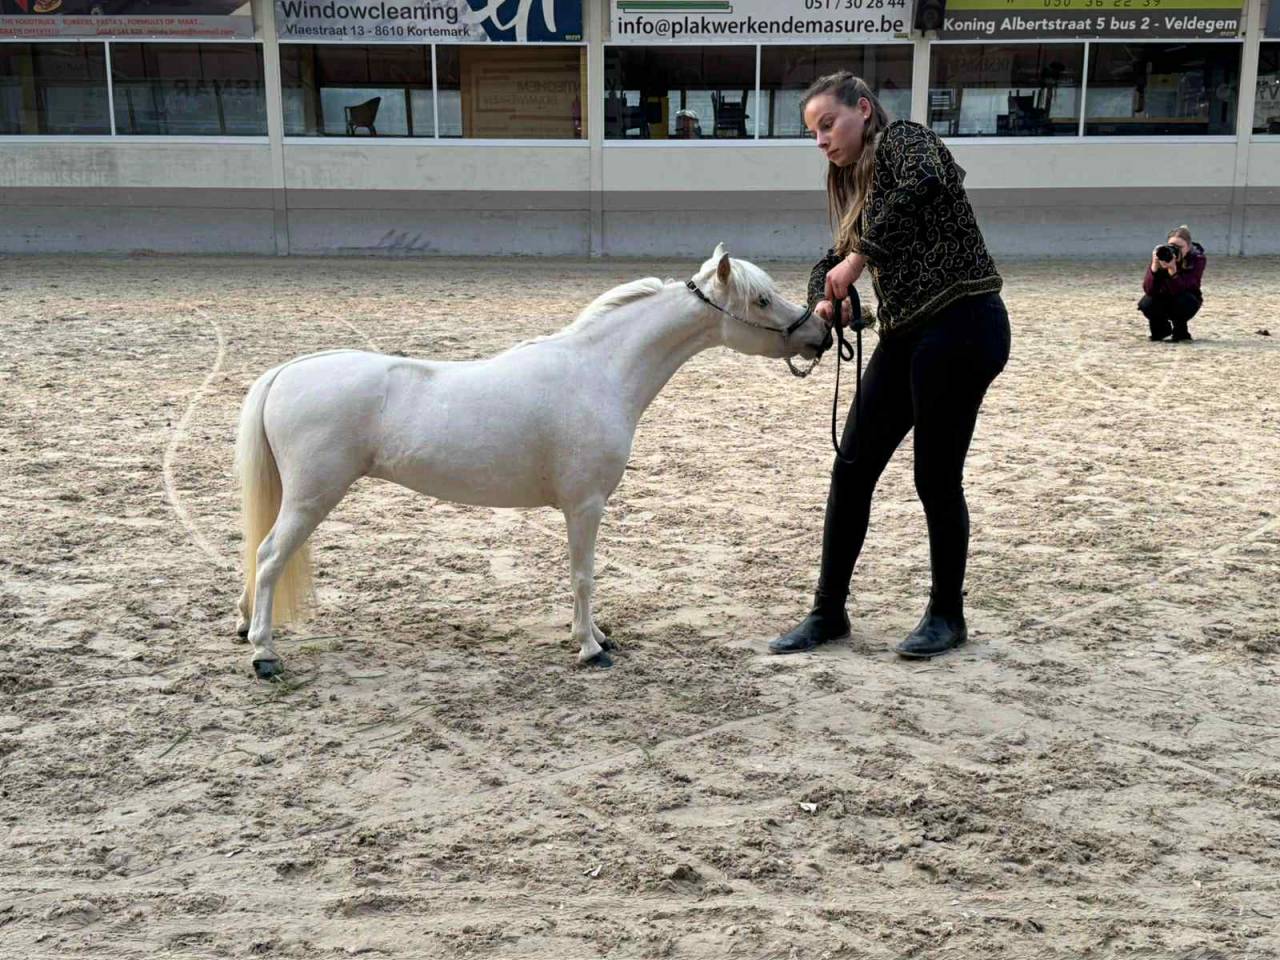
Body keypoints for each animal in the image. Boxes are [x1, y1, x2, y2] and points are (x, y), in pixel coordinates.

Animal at [234, 245, 832, 679]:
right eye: (760, 300)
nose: (820, 332)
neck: (599, 371)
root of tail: (288, 371)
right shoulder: (585, 505)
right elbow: (583, 575)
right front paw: (591, 647)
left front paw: (594, 636)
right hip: (313, 497)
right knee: (269, 556)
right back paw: (264, 654)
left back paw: (245, 628)